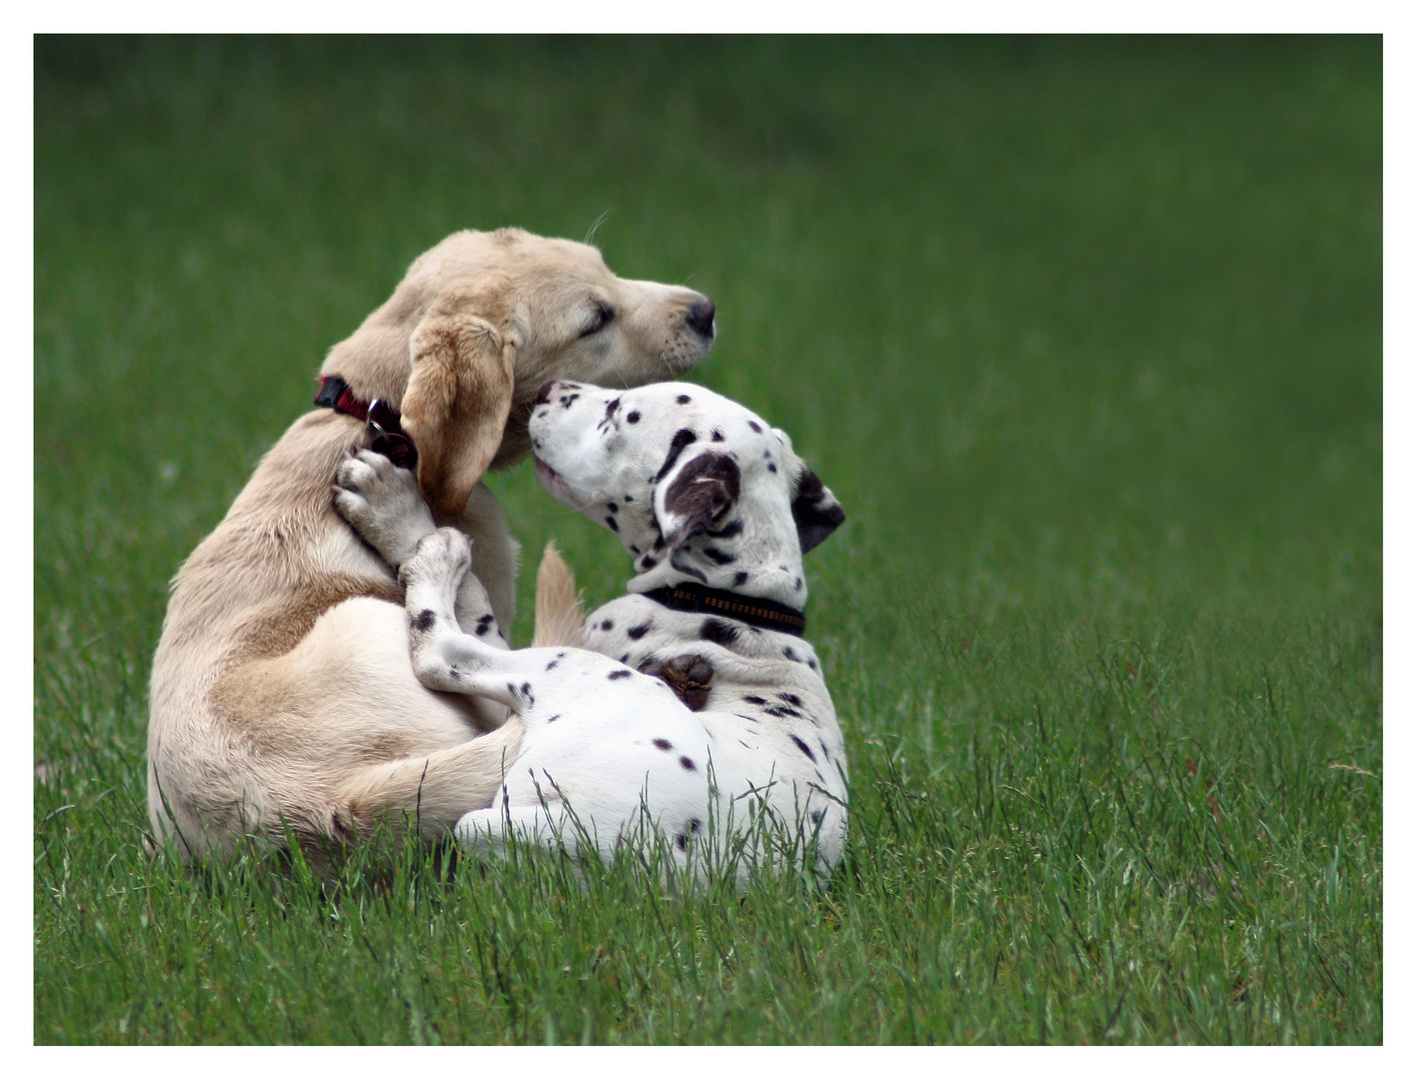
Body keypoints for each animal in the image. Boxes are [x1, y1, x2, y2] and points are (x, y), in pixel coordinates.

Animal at [149, 225, 714, 856]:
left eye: (607, 268)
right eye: (595, 320)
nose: (706, 310)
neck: (376, 424)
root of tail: (331, 803)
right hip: (379, 626)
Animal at [334, 382, 838, 878]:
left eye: (616, 414)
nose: (548, 388)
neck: (734, 601)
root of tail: (619, 844)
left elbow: (470, 599)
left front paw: (393, 512)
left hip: (561, 675)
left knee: (439, 649)